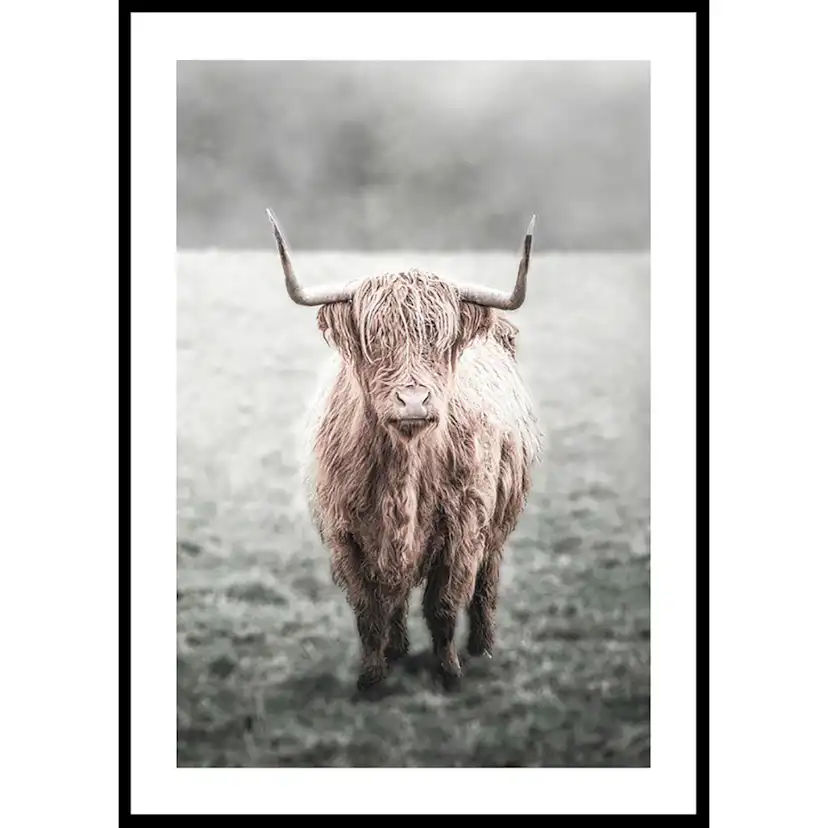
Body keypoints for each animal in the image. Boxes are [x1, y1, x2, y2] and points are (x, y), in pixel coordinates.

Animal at [267, 209, 543, 695]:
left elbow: (445, 605)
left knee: (486, 584)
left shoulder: (464, 529)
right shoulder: (345, 535)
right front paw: (371, 677)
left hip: (497, 526)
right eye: (375, 340)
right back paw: (396, 649)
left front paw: (449, 671)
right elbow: (368, 611)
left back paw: (483, 647)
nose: (414, 401)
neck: (404, 468)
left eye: (441, 341)